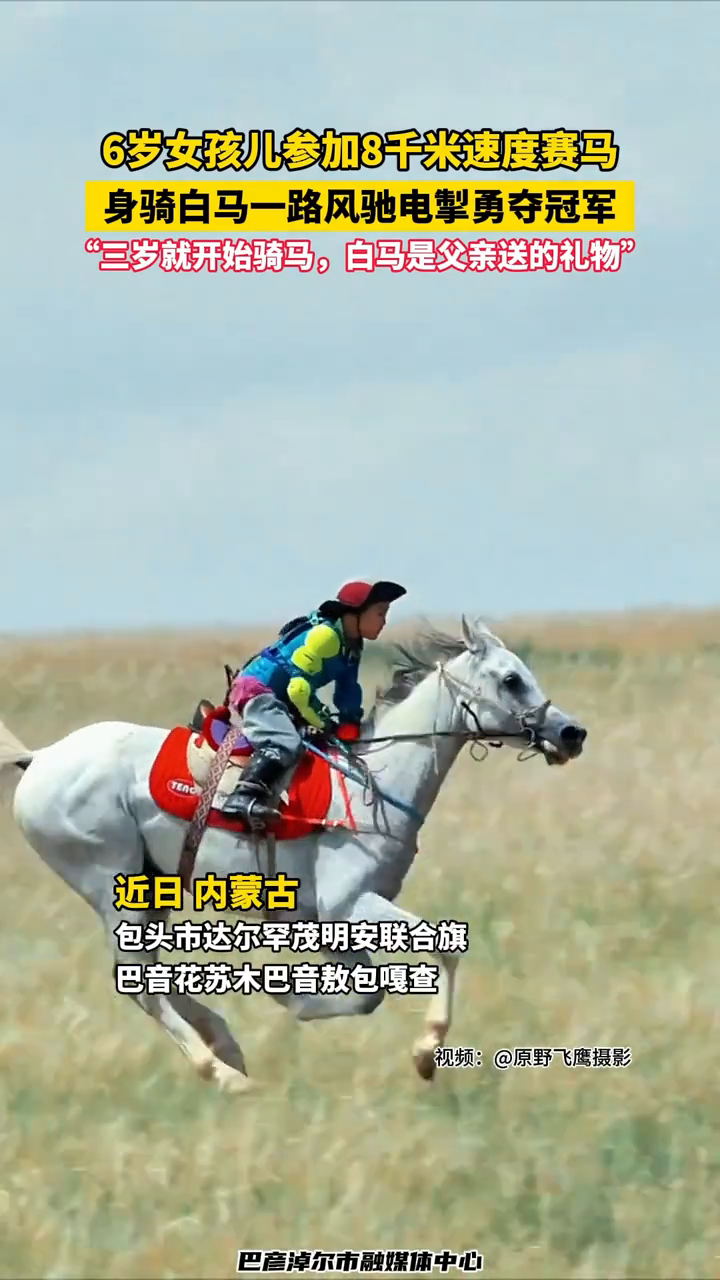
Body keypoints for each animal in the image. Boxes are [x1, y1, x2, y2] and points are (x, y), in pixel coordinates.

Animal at [0, 615, 587, 1094]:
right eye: (510, 679)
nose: (571, 733)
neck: (375, 782)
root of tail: (41, 758)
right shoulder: (350, 903)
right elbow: (438, 954)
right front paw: (423, 1053)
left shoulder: (328, 919)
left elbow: (367, 992)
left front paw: (289, 997)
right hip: (111, 883)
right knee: (140, 985)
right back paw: (224, 1074)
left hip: (153, 888)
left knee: (151, 978)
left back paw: (225, 1043)